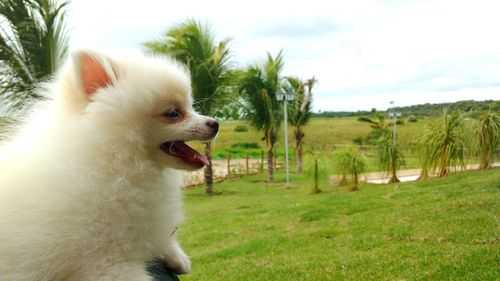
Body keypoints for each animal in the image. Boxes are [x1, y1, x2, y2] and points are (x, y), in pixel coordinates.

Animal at [0, 49, 219, 278]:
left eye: (190, 106)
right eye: (174, 113)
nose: (216, 123)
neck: (111, 159)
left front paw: (176, 255)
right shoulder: (106, 263)